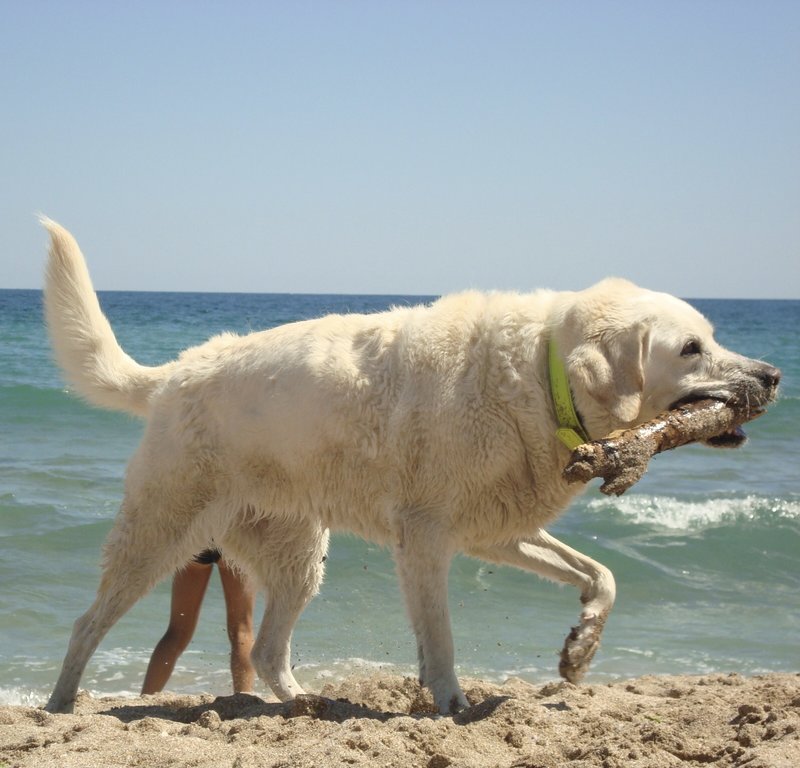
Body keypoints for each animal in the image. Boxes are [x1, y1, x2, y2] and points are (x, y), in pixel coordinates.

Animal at [41, 219, 780, 714]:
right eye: (691, 349)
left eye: (713, 338)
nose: (773, 376)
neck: (541, 374)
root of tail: (172, 374)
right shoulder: (426, 538)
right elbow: (442, 638)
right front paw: (452, 704)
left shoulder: (496, 531)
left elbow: (602, 574)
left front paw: (581, 648)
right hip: (161, 533)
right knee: (86, 624)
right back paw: (59, 705)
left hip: (297, 554)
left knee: (268, 649)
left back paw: (301, 704)